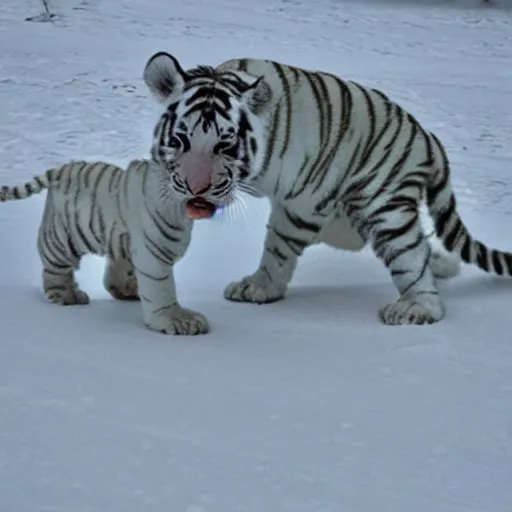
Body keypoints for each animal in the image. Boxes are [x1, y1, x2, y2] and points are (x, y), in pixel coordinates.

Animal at [0, 160, 209, 336]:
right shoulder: (154, 248)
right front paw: (181, 321)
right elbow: (161, 287)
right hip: (64, 237)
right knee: (56, 268)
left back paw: (125, 291)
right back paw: (66, 295)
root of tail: (61, 169)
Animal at [136, 51, 512, 324]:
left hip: (383, 208)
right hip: (352, 220)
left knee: (409, 256)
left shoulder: (301, 203)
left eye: (225, 146)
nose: (196, 189)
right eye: (181, 139)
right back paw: (444, 267)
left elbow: (278, 249)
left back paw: (417, 307)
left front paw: (261, 287)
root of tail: (428, 138)